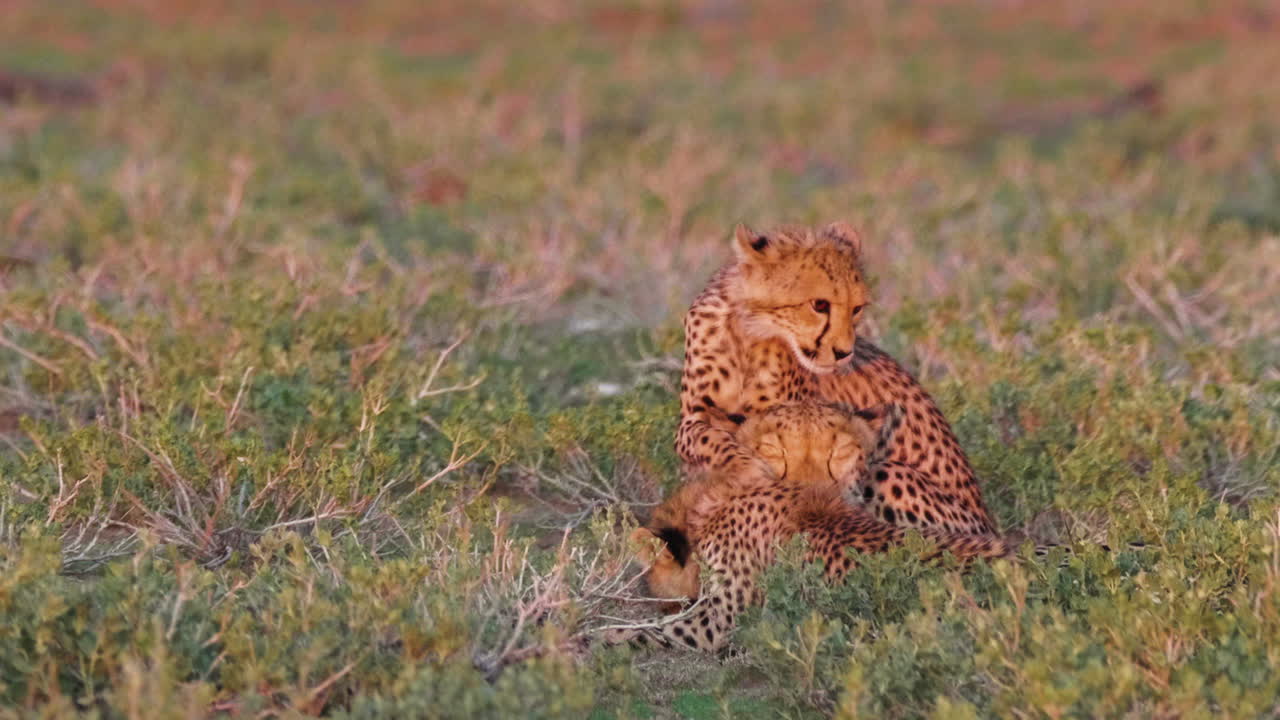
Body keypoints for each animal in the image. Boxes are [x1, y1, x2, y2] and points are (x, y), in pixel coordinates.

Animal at [675, 221, 995, 536]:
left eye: (857, 308)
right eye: (819, 304)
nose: (844, 353)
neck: (750, 334)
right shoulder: (693, 419)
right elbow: (710, 439)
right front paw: (748, 469)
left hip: (889, 473)